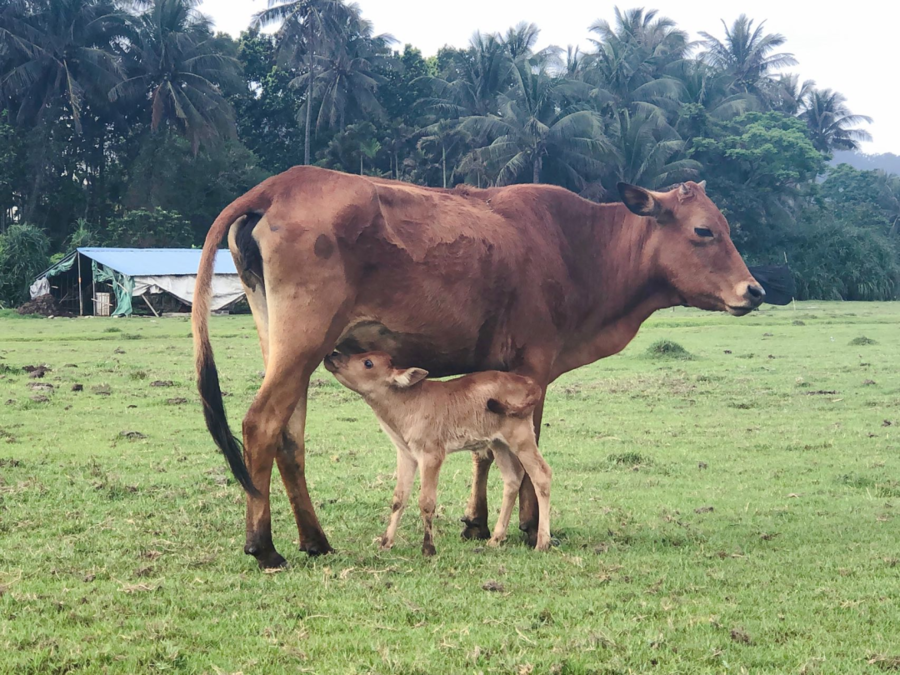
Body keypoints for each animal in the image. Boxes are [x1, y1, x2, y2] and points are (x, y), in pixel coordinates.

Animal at [193, 166, 764, 568]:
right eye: (704, 231)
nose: (754, 291)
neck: (581, 246)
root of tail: (279, 185)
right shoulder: (533, 366)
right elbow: (529, 452)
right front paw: (531, 528)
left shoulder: (493, 373)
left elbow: (486, 453)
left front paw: (476, 522)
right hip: (304, 341)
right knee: (261, 424)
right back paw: (264, 546)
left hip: (284, 343)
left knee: (290, 438)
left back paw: (315, 540)